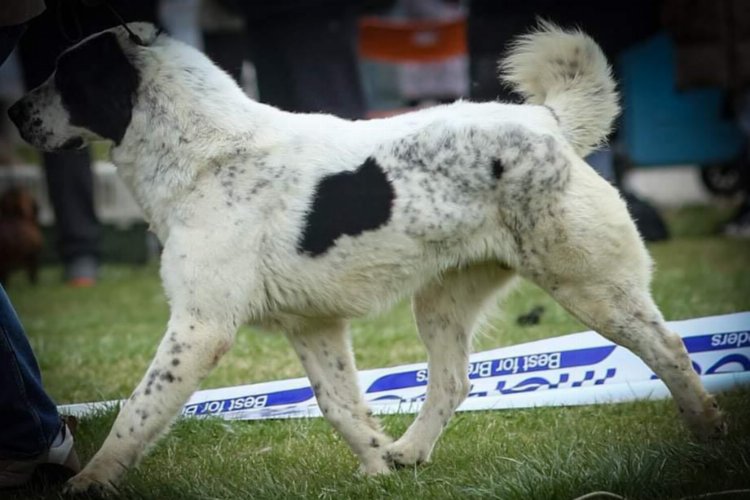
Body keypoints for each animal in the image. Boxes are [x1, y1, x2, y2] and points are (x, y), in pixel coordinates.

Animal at [10, 21, 728, 494]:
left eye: (65, 79)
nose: (14, 111)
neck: (210, 153)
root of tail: (550, 124)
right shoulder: (313, 326)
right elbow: (341, 406)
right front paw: (379, 463)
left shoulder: (200, 326)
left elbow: (139, 409)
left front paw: (90, 481)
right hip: (442, 300)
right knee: (452, 381)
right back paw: (410, 452)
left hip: (590, 285)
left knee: (670, 349)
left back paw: (707, 438)